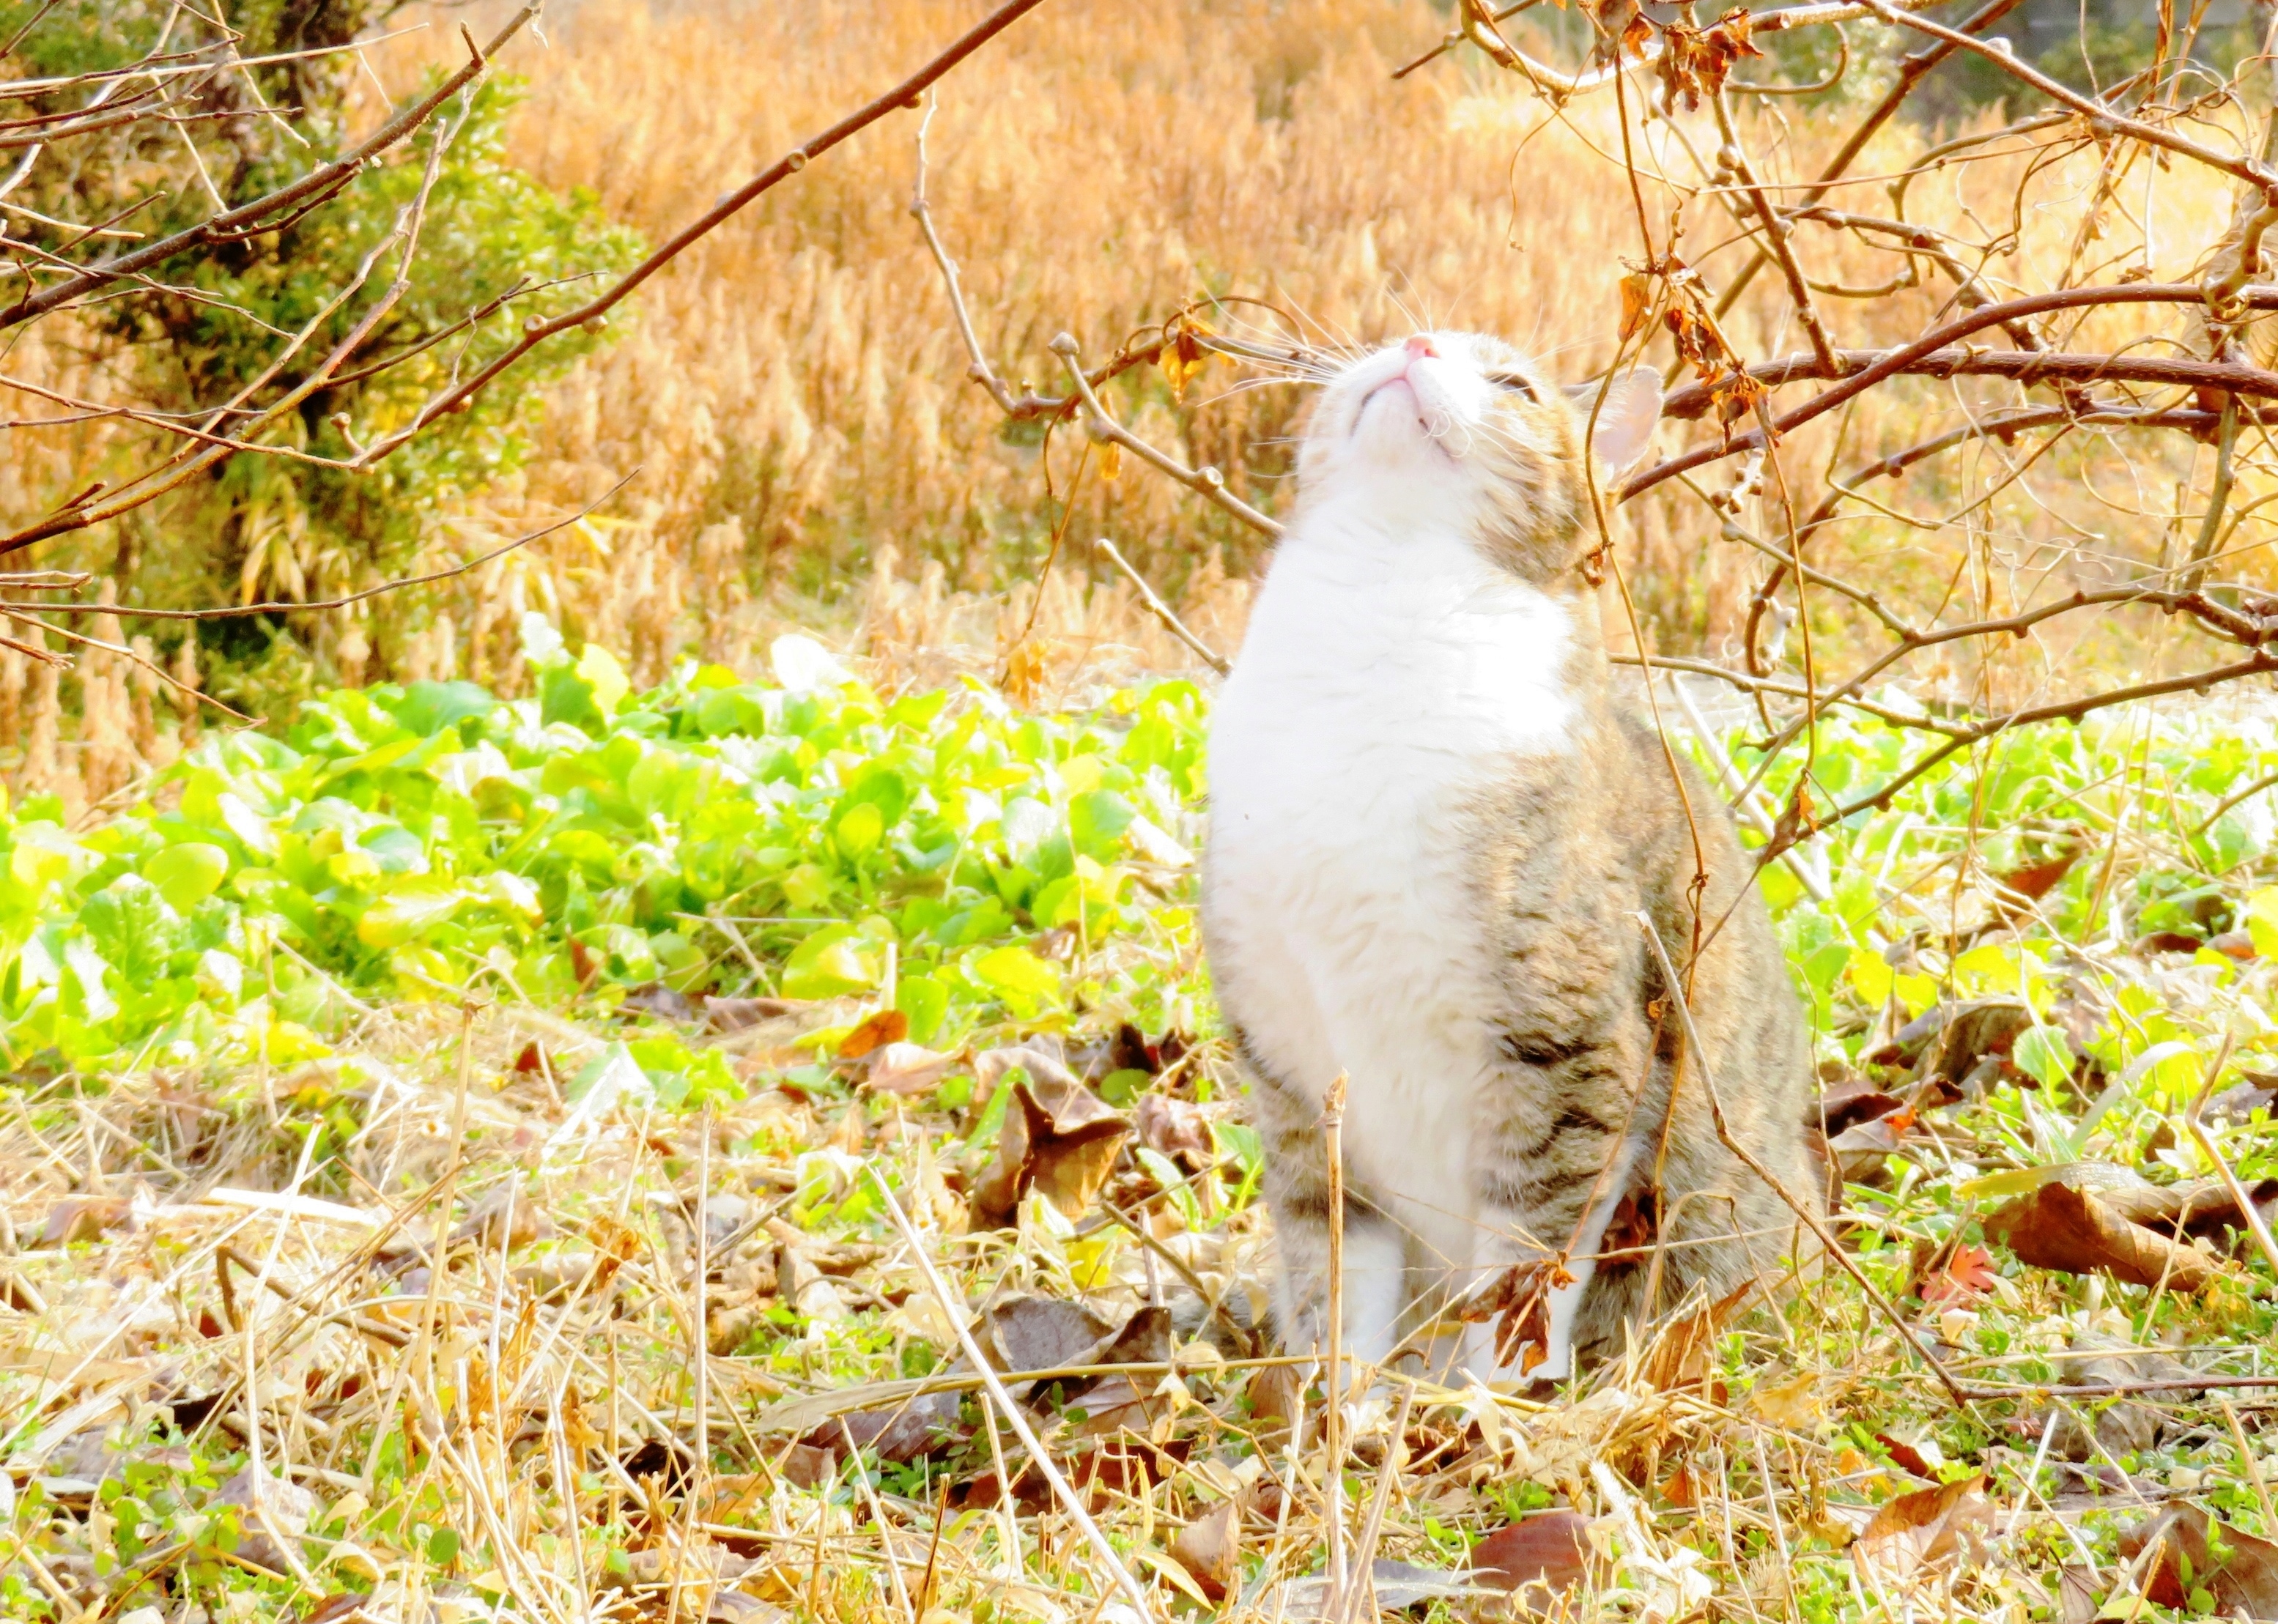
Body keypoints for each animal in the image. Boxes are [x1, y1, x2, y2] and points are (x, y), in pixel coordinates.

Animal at [1211, 330, 1813, 1384]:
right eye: (1392, 337)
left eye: (1513, 386)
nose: (1414, 344)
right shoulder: (1291, 1075)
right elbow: (1332, 1270)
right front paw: (1339, 1408)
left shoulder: (1570, 1047)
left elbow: (1523, 1273)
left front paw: (1483, 1412)